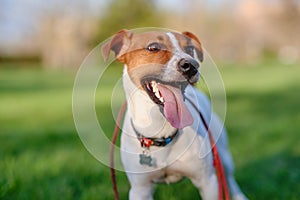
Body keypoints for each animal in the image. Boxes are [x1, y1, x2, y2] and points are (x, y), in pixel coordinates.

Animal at [102, 29, 247, 200]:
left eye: (190, 49)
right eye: (153, 47)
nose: (191, 65)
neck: (161, 131)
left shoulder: (208, 182)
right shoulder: (140, 189)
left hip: (222, 153)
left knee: (229, 177)